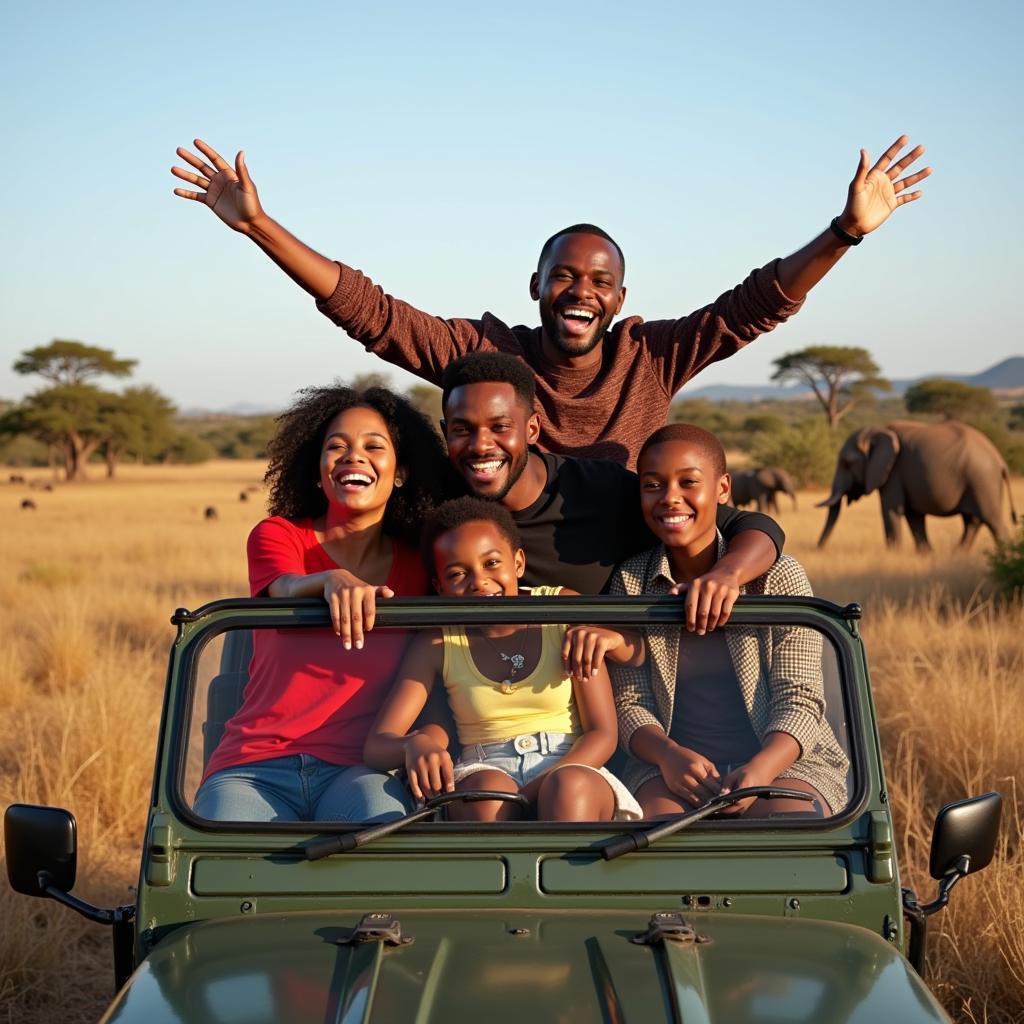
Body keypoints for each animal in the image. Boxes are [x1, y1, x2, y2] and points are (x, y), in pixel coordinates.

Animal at [815, 417, 1015, 552]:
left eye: (847, 463)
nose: (818, 549)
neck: (878, 431)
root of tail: (1000, 460)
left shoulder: (894, 471)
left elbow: (890, 511)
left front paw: (893, 554)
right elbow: (914, 517)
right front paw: (926, 554)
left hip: (982, 480)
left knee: (992, 521)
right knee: (971, 522)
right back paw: (957, 554)